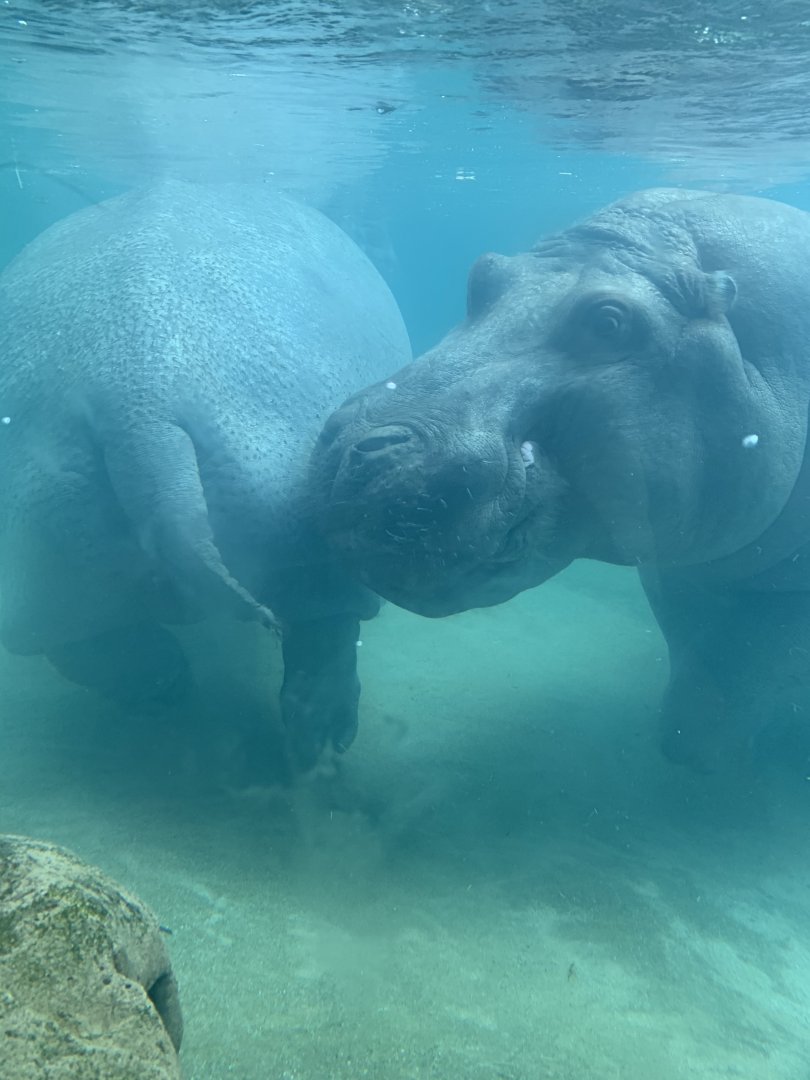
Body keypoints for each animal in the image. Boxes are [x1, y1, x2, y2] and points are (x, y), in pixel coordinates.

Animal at [0, 180, 410, 768]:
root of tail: (137, 407)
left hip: (46, 546)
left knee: (81, 639)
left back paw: (168, 692)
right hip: (311, 534)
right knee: (327, 625)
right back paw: (321, 745)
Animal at [312, 188, 810, 772]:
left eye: (609, 323)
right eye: (482, 274)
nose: (353, 452)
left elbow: (744, 681)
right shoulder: (681, 570)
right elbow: (699, 690)